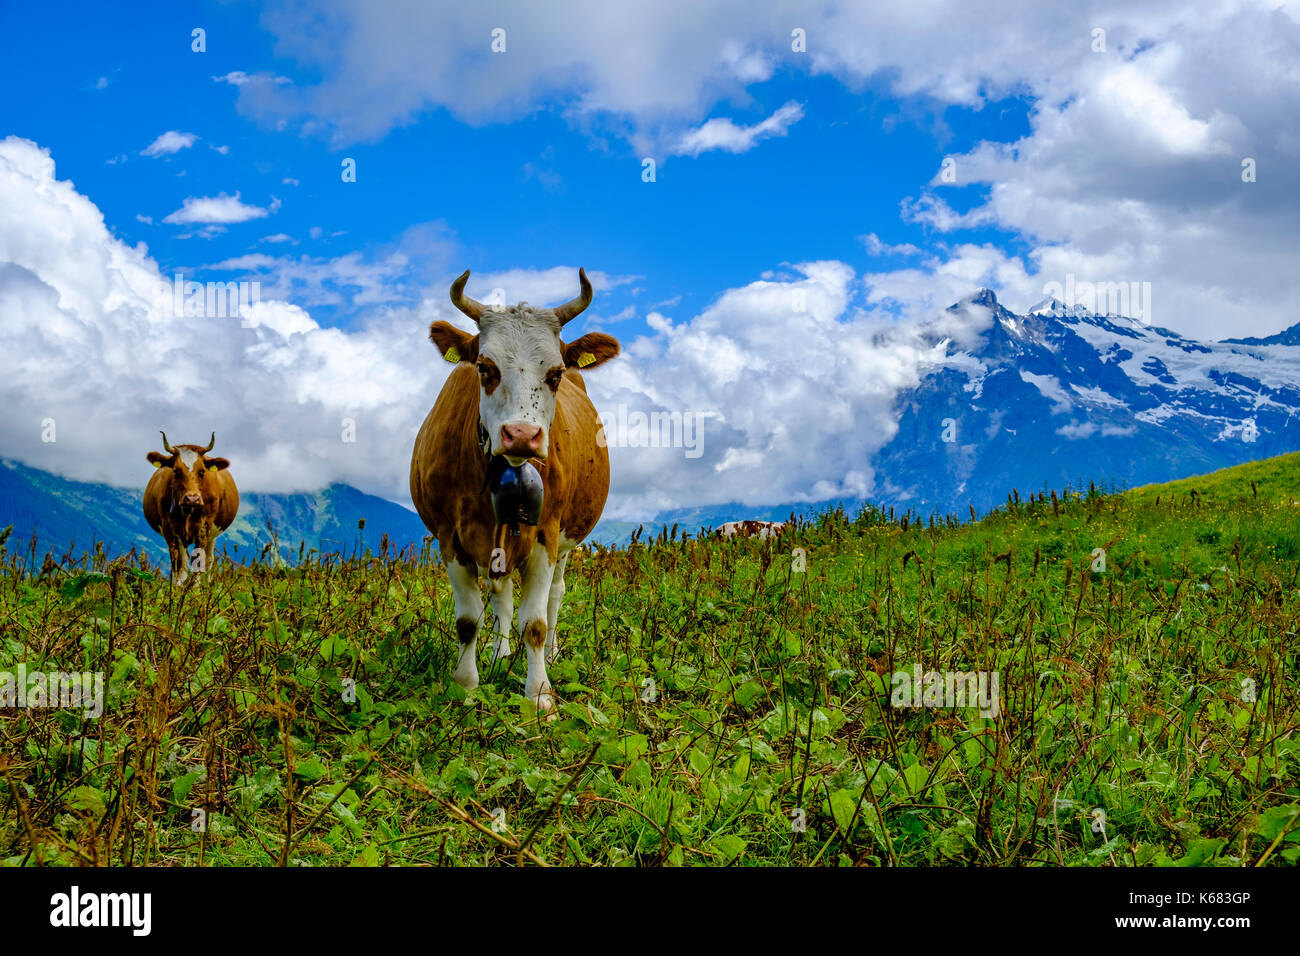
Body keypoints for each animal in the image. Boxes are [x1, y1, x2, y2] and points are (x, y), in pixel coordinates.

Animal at [143, 431, 240, 582]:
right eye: (176, 471)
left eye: (202, 471)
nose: (192, 498)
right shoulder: (169, 529)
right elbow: (178, 565)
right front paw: (176, 588)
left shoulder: (204, 527)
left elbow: (199, 562)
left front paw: (195, 587)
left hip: (212, 535)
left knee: (209, 561)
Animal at [413, 267, 621, 712]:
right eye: (484, 368)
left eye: (555, 373)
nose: (522, 435)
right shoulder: (450, 537)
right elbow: (469, 619)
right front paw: (466, 683)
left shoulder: (545, 534)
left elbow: (536, 622)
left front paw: (540, 693)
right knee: (501, 596)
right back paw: (499, 653)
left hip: (566, 539)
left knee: (556, 595)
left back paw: (553, 653)